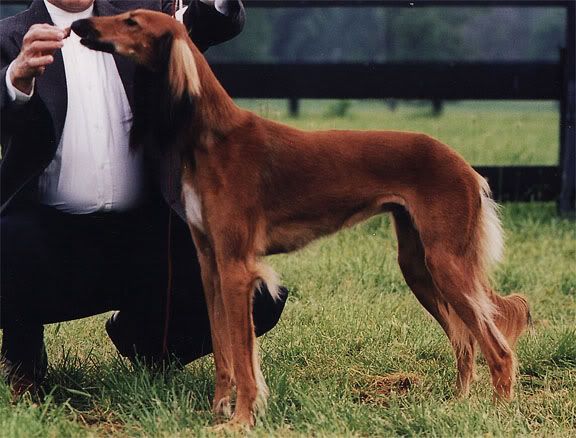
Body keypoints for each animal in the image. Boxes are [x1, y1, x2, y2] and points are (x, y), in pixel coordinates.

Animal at [72, 9, 532, 428]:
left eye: (132, 21)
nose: (80, 25)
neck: (212, 135)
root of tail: (466, 167)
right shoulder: (210, 264)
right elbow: (223, 351)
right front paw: (219, 410)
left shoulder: (237, 267)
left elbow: (243, 356)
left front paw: (241, 420)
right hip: (419, 265)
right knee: (464, 341)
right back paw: (457, 405)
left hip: (446, 263)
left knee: (497, 346)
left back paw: (498, 412)